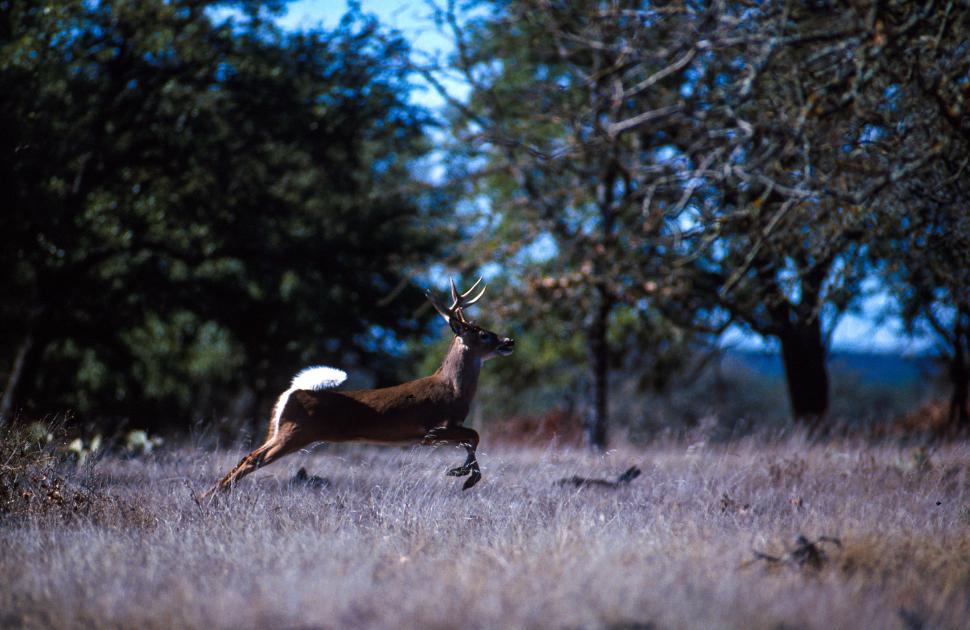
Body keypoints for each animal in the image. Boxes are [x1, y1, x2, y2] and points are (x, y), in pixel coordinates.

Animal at [203, 278, 514, 498]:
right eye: (483, 334)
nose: (509, 341)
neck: (453, 389)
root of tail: (292, 392)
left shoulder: (441, 431)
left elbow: (472, 438)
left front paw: (462, 471)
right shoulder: (432, 430)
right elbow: (474, 435)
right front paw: (466, 476)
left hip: (279, 430)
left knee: (247, 456)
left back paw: (207, 497)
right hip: (295, 433)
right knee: (252, 459)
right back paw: (208, 498)